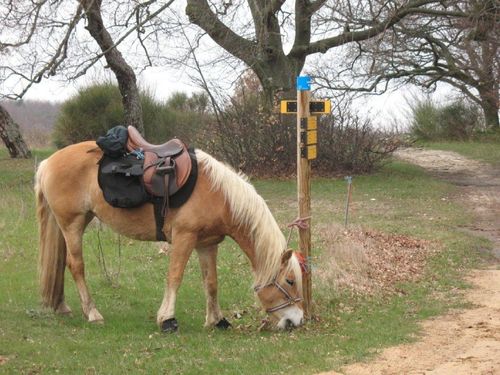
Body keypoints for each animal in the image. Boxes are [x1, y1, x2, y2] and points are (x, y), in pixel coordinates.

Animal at [34, 141, 304, 332]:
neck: (219, 195)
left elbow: (211, 283)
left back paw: (62, 306)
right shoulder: (185, 238)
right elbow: (175, 277)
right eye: (290, 280)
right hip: (72, 224)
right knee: (76, 266)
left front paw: (216, 320)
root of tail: (48, 162)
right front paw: (167, 319)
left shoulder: (207, 244)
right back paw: (92, 313)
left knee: (61, 264)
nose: (297, 321)